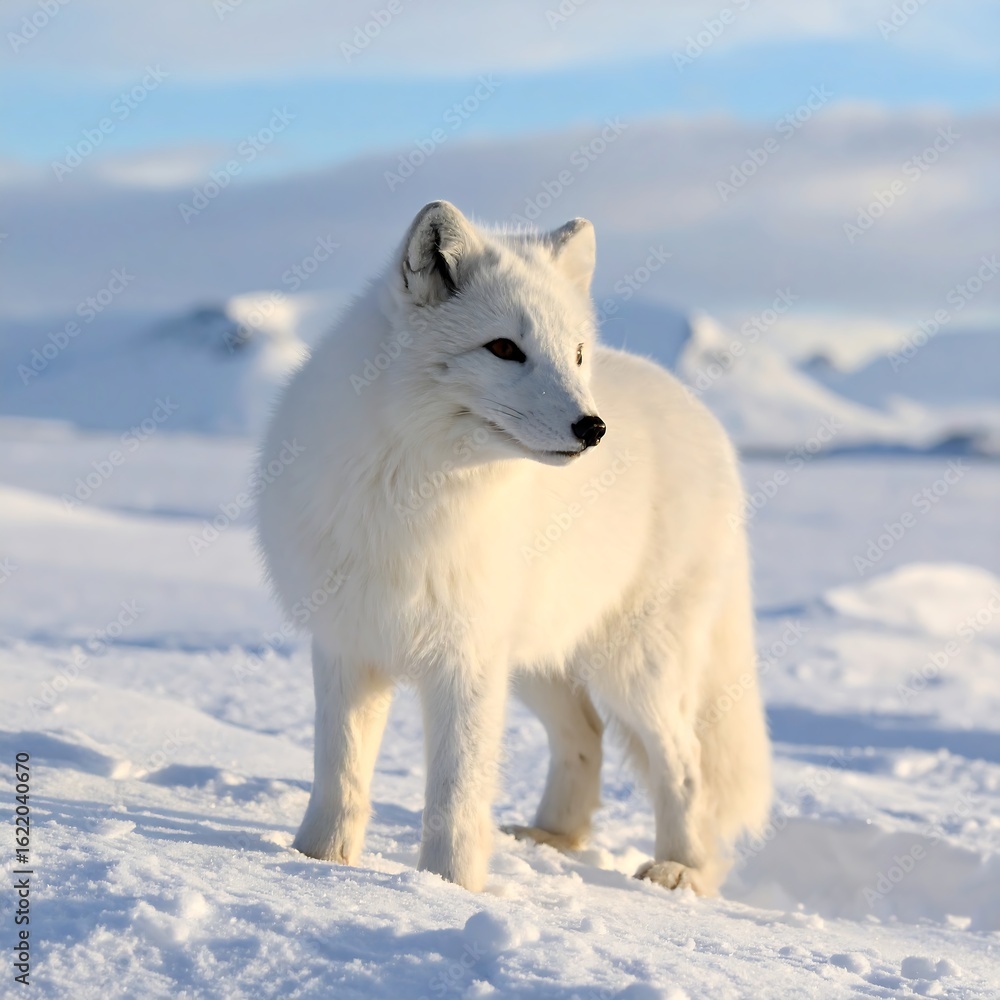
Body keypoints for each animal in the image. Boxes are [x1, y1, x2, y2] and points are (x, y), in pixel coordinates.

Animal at [255, 200, 771, 894]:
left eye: (575, 354)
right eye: (504, 348)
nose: (593, 428)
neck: (415, 488)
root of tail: (702, 415)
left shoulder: (468, 657)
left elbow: (456, 791)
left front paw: (447, 886)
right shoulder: (347, 642)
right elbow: (338, 773)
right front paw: (316, 863)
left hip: (634, 664)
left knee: (685, 761)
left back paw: (681, 868)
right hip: (538, 663)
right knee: (587, 734)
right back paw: (554, 836)